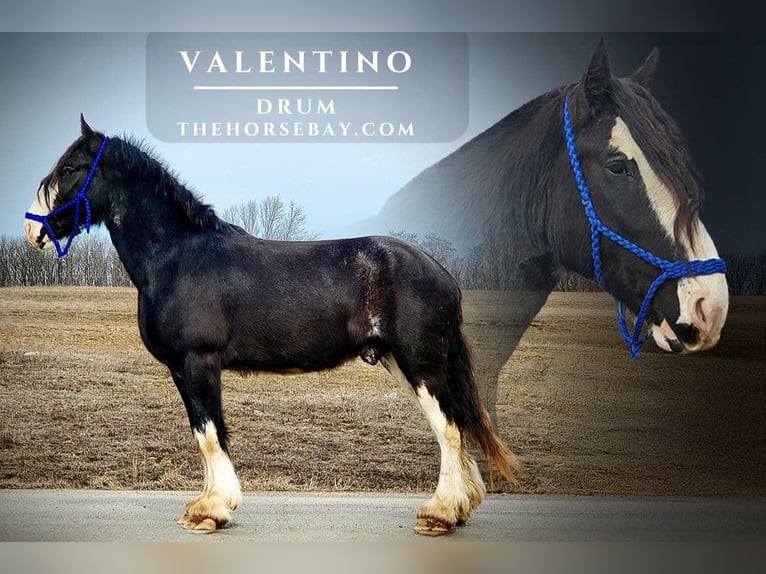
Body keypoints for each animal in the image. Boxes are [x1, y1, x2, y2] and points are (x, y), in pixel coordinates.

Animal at [23, 39, 729, 536]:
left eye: (73, 167)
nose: (32, 230)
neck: (181, 255)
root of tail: (441, 268)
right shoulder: (189, 369)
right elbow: (208, 435)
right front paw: (210, 505)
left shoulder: (198, 365)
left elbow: (210, 433)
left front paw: (212, 511)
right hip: (405, 361)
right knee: (453, 428)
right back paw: (455, 509)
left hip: (419, 361)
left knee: (451, 429)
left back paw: (441, 515)